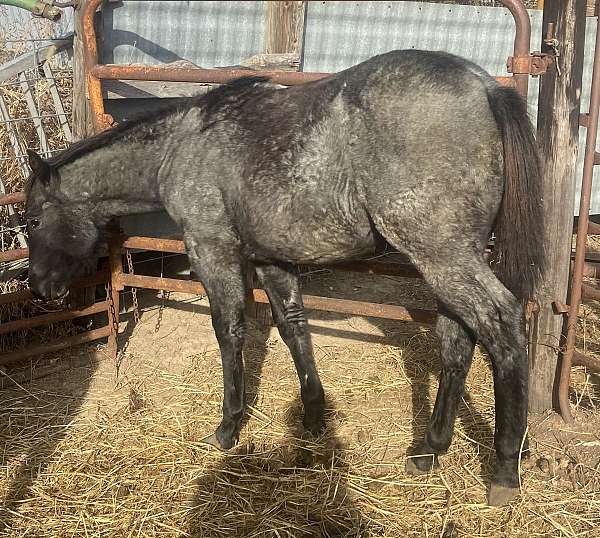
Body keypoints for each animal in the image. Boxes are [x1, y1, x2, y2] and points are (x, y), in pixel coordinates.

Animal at [24, 48, 544, 504]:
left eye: (30, 220)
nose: (39, 288)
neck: (180, 147)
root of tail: (485, 87)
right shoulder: (272, 259)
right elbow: (294, 328)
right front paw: (313, 415)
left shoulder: (212, 250)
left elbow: (230, 331)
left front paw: (229, 425)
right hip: (447, 261)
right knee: (458, 343)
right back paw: (430, 450)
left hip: (441, 255)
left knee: (502, 324)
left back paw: (504, 469)